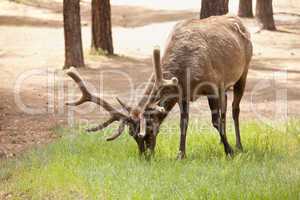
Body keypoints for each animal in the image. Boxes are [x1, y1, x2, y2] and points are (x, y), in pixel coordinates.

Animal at [66, 15, 253, 159]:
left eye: (147, 130)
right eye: (131, 134)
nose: (144, 156)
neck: (185, 74)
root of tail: (240, 22)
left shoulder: (212, 85)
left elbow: (215, 121)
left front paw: (229, 152)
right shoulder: (183, 94)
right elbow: (184, 122)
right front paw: (181, 154)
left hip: (243, 71)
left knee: (235, 109)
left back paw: (239, 145)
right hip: (225, 86)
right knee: (225, 107)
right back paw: (223, 141)